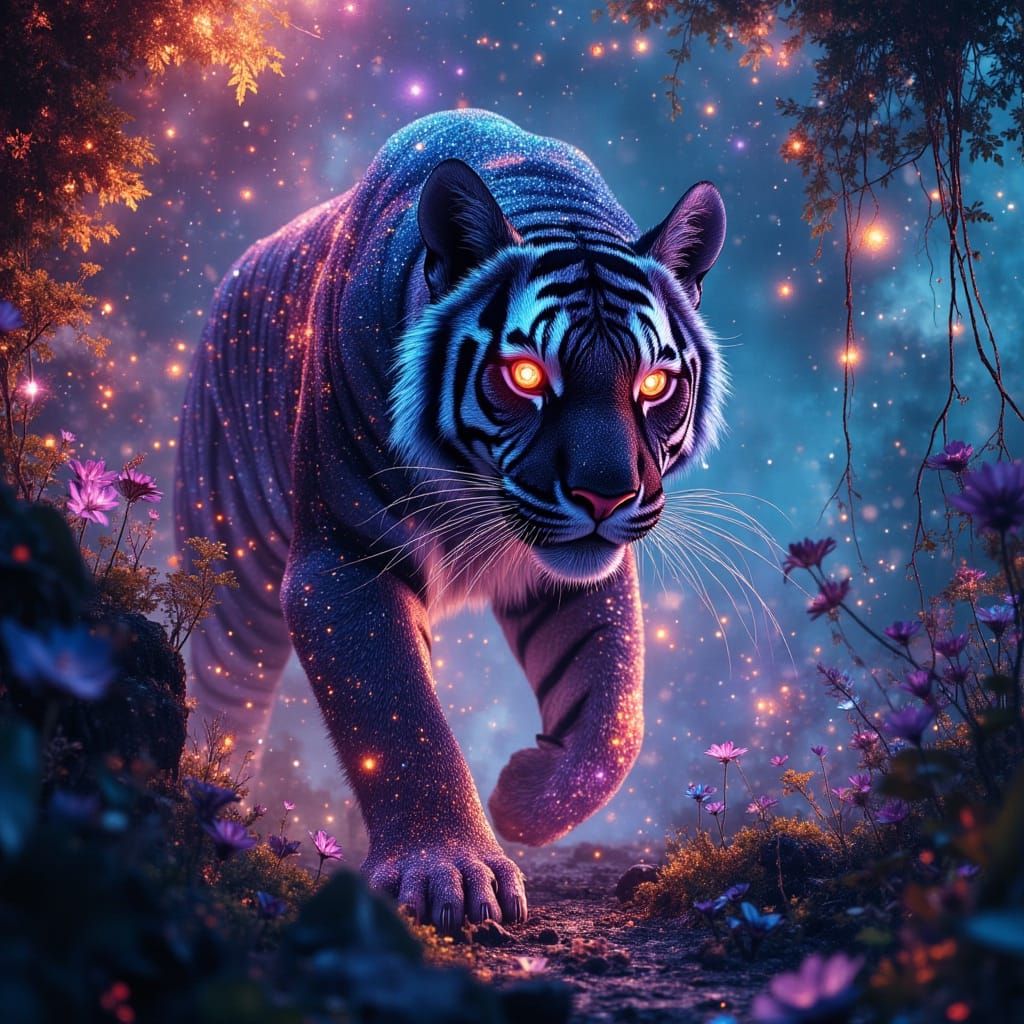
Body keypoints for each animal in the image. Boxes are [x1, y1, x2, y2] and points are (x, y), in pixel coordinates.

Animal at [176, 109, 727, 932]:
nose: (606, 498)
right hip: (232, 582)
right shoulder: (345, 559)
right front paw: (450, 872)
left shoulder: (574, 577)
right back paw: (216, 801)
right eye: (526, 375)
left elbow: (613, 720)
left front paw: (521, 799)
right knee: (223, 692)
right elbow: (400, 716)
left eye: (655, 383)